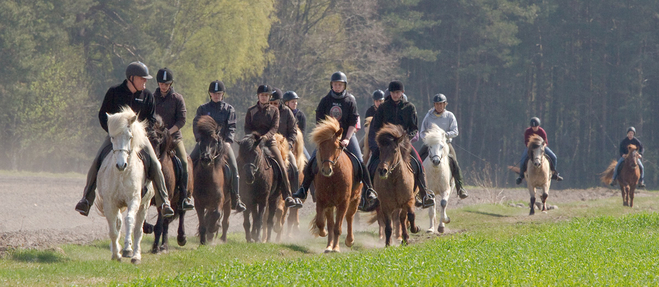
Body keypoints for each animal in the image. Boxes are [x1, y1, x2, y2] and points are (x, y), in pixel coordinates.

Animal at [95, 108, 153, 266]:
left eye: (129, 136)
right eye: (112, 137)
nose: (121, 165)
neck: (122, 174)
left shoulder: (134, 200)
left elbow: (130, 221)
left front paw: (127, 250)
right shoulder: (110, 203)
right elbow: (113, 230)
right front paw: (116, 254)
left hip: (144, 205)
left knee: (138, 229)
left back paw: (136, 255)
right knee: (119, 223)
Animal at [144, 117, 193, 254]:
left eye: (158, 142)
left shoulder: (164, 201)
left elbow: (159, 226)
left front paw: (155, 248)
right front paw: (148, 228)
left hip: (183, 196)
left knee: (181, 214)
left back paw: (180, 239)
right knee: (166, 222)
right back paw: (164, 245)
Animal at [191, 115, 232, 245]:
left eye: (215, 141)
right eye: (201, 140)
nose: (206, 158)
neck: (207, 179)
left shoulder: (220, 200)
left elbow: (217, 214)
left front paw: (213, 228)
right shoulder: (199, 203)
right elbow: (203, 223)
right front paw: (203, 241)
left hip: (228, 203)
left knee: (225, 222)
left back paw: (223, 238)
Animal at [310, 116, 360, 253]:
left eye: (336, 147)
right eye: (321, 147)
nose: (327, 170)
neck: (333, 178)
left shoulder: (343, 202)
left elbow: (338, 227)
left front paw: (336, 248)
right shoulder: (322, 200)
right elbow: (322, 223)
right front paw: (324, 234)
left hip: (355, 199)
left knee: (349, 217)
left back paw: (349, 240)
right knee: (331, 223)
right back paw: (329, 246)